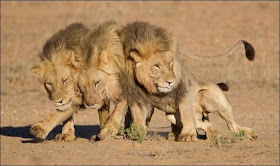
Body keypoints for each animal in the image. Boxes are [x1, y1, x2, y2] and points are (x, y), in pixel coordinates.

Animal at [119, 20, 258, 141]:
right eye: (156, 66)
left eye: (170, 63)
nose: (170, 81)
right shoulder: (139, 100)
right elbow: (138, 117)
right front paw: (137, 134)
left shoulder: (184, 91)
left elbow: (187, 115)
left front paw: (188, 136)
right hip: (172, 115)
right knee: (199, 122)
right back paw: (211, 132)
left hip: (216, 100)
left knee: (231, 125)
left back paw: (250, 134)